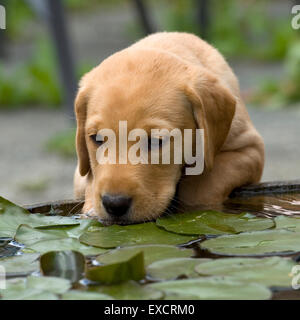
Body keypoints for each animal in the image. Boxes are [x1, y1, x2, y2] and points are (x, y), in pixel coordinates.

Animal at [74, 31, 264, 224]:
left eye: (155, 141)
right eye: (96, 138)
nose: (114, 204)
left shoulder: (251, 150)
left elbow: (206, 182)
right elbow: (90, 178)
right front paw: (91, 210)